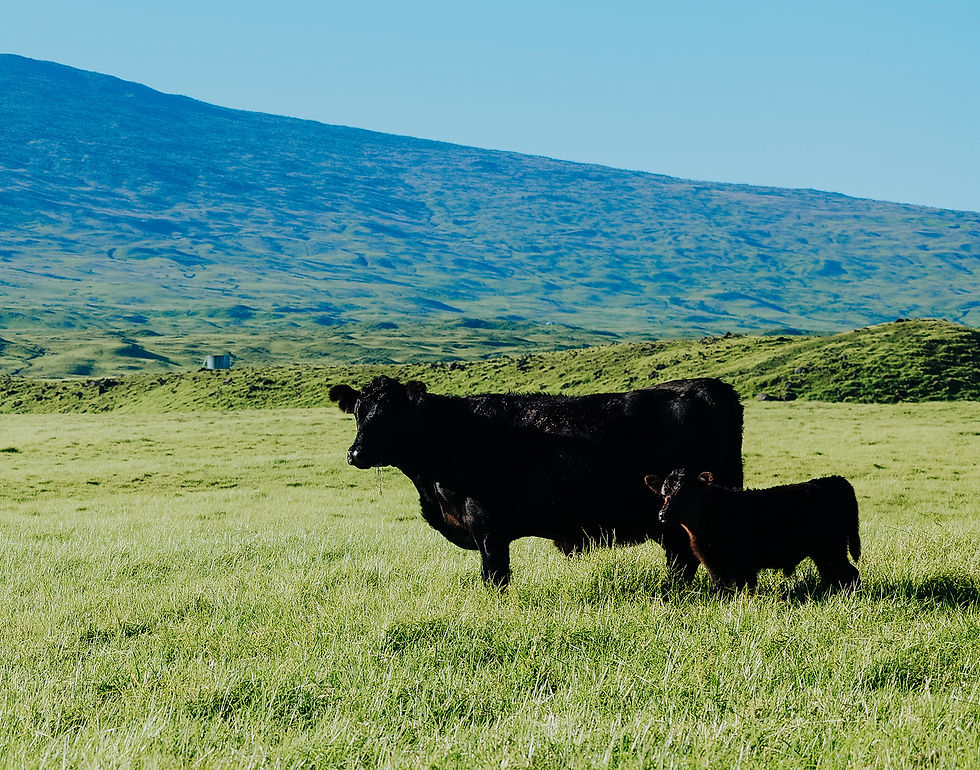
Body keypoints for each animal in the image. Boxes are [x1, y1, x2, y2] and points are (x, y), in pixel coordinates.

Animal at [329, 375, 742, 586]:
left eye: (391, 414)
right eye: (359, 412)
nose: (355, 453)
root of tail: (711, 386)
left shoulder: (488, 528)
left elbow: (494, 576)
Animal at [646, 469, 861, 591]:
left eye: (686, 494)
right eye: (663, 494)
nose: (662, 514)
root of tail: (835, 480)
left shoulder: (740, 564)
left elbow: (743, 588)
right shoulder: (713, 564)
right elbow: (722, 588)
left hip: (831, 549)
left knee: (849, 574)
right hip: (825, 553)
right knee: (834, 576)